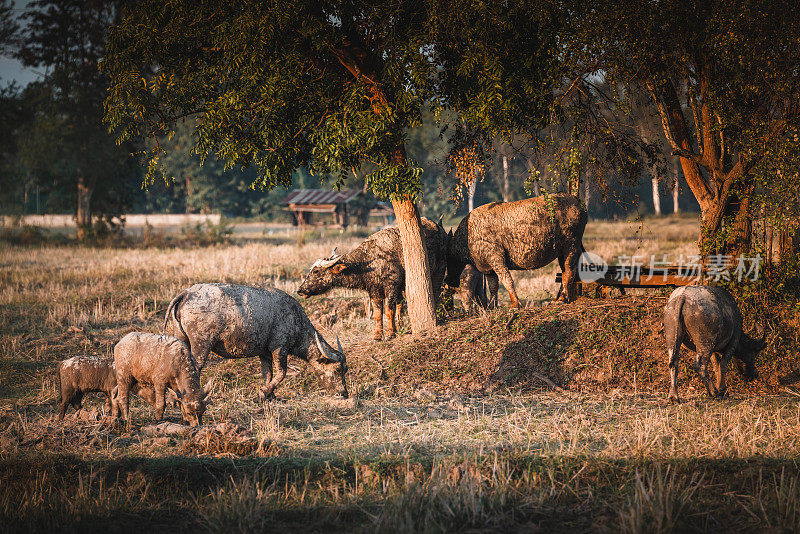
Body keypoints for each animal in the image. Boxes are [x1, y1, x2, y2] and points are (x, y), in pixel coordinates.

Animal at [165, 284, 346, 402]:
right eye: (338, 370)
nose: (344, 393)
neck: (296, 321)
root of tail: (186, 293)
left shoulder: (265, 353)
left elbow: (268, 373)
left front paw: (270, 396)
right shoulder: (280, 348)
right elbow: (281, 373)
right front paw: (264, 392)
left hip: (181, 339)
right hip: (201, 344)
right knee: (194, 367)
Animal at [298, 217, 450, 340]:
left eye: (316, 271)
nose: (300, 290)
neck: (370, 261)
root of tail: (440, 229)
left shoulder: (391, 286)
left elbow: (388, 311)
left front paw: (390, 334)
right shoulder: (374, 291)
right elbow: (378, 313)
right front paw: (378, 335)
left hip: (439, 270)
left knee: (435, 294)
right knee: (402, 305)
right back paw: (401, 326)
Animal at [444, 195, 588, 308]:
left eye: (449, 259)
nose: (448, 280)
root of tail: (580, 204)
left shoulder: (496, 258)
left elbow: (507, 279)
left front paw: (515, 303)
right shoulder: (488, 268)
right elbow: (493, 287)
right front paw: (492, 306)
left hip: (571, 245)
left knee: (569, 271)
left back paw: (562, 299)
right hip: (562, 251)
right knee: (566, 273)